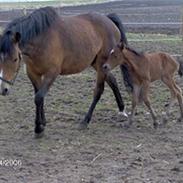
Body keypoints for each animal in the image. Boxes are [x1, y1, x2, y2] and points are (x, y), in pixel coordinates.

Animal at [0, 7, 132, 136]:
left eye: (15, 59)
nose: (4, 89)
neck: (42, 40)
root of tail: (108, 19)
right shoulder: (33, 74)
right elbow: (39, 98)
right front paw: (43, 123)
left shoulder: (51, 73)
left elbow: (39, 97)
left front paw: (38, 128)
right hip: (98, 64)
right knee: (112, 81)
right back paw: (122, 109)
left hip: (101, 64)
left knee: (98, 91)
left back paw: (85, 121)